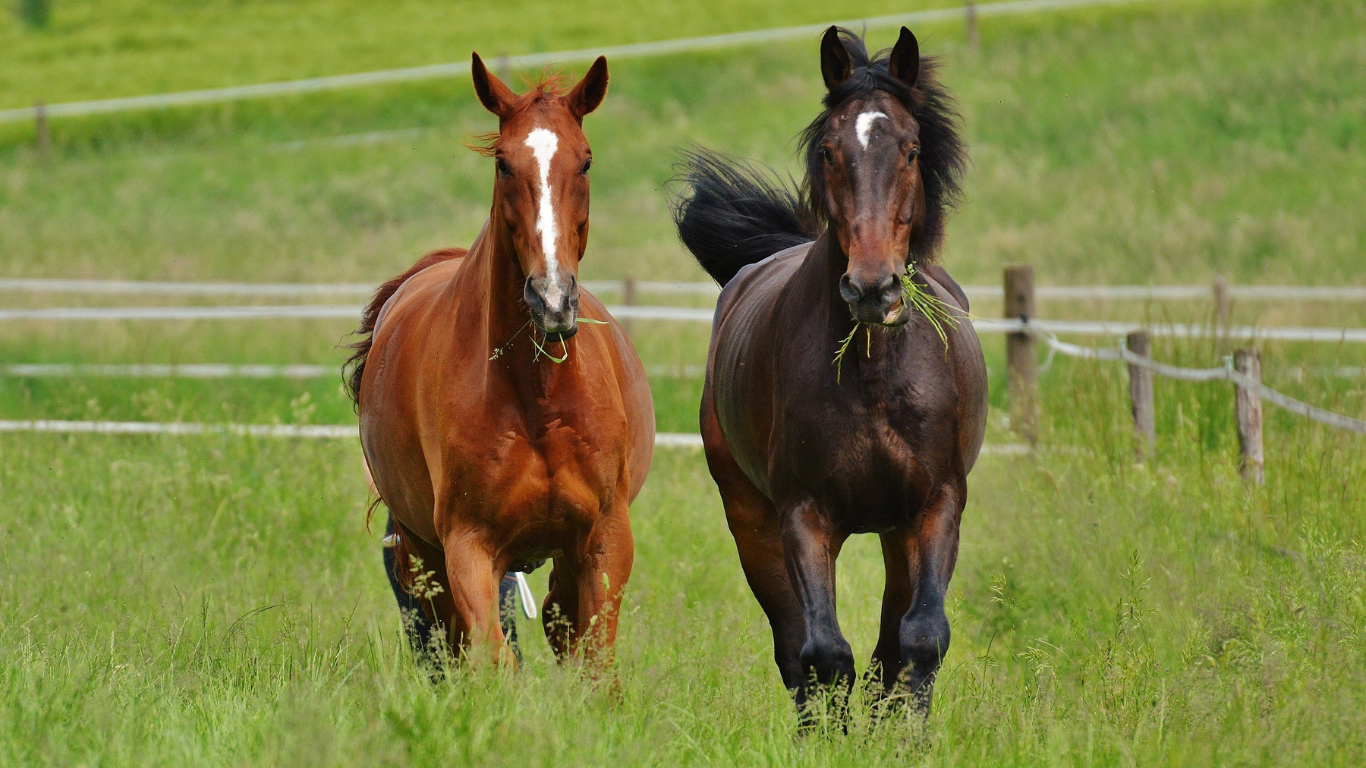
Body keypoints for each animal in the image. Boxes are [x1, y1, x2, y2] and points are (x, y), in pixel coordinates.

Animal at [349, 53, 652, 664]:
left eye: (585, 161)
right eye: (504, 164)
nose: (552, 299)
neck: (537, 397)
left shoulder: (605, 539)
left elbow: (593, 662)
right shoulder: (468, 546)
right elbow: (492, 657)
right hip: (426, 553)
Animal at [669, 28, 983, 710]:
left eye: (912, 150)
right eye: (829, 151)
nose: (871, 288)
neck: (875, 379)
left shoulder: (936, 504)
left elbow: (919, 640)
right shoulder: (803, 515)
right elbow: (823, 655)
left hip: (895, 531)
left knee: (891, 644)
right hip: (751, 521)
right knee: (796, 649)